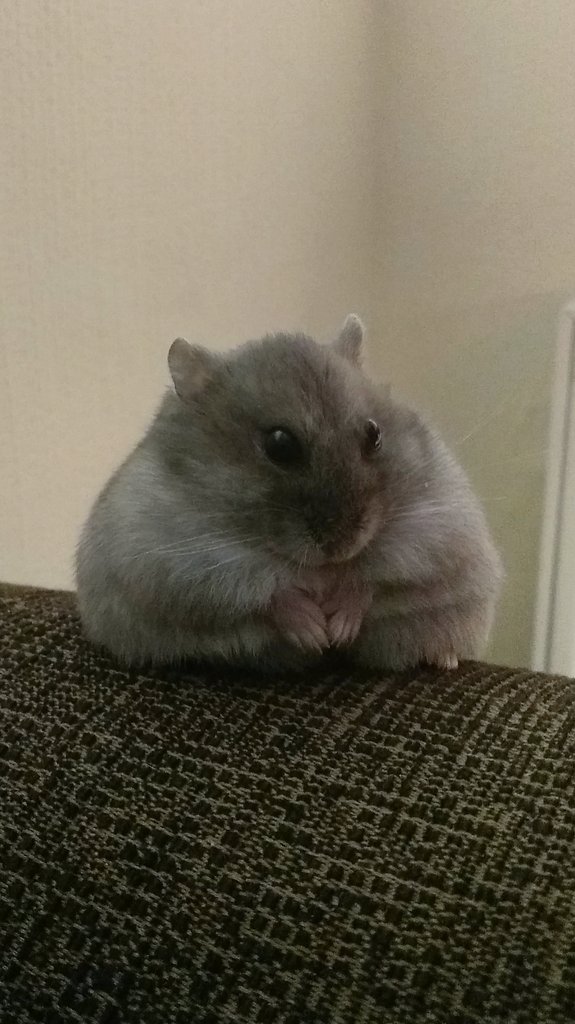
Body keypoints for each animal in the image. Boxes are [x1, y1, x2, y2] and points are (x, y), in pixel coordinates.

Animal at [76, 315, 503, 672]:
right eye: (279, 444)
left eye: (374, 434)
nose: (340, 547)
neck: (319, 569)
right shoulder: (180, 564)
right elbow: (271, 593)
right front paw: (317, 634)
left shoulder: (437, 529)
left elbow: (370, 580)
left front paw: (338, 629)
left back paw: (445, 660)